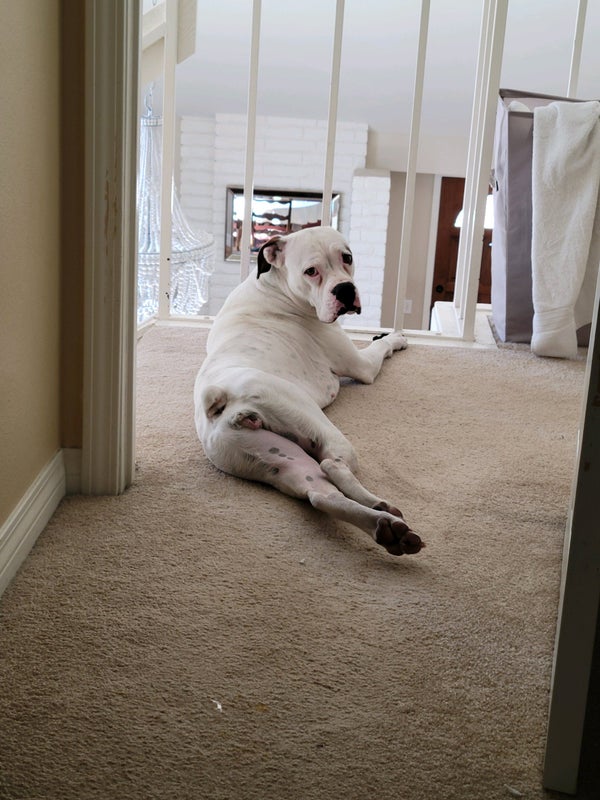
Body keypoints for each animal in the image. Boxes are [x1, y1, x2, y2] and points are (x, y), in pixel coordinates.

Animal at [194, 226, 424, 556]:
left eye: (347, 257)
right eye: (311, 271)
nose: (344, 289)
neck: (274, 287)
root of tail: (219, 399)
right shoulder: (362, 366)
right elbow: (381, 347)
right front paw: (395, 337)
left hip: (278, 460)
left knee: (322, 496)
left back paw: (388, 527)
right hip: (313, 424)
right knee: (332, 464)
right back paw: (383, 512)